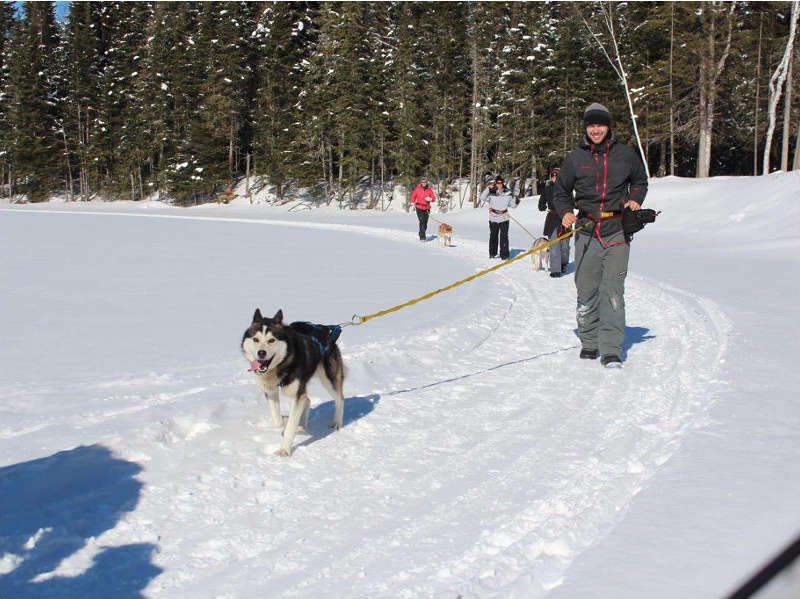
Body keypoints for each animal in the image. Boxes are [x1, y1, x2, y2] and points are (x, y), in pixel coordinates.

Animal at [241, 312, 346, 458]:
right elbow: (278, 421)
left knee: (340, 399)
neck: (281, 365)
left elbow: (290, 425)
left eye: (271, 340)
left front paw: (284, 450)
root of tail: (327, 331)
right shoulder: (271, 391)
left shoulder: (296, 393)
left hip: (328, 379)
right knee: (307, 399)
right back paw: (301, 426)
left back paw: (337, 423)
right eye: (256, 339)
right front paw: (284, 421)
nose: (261, 353)